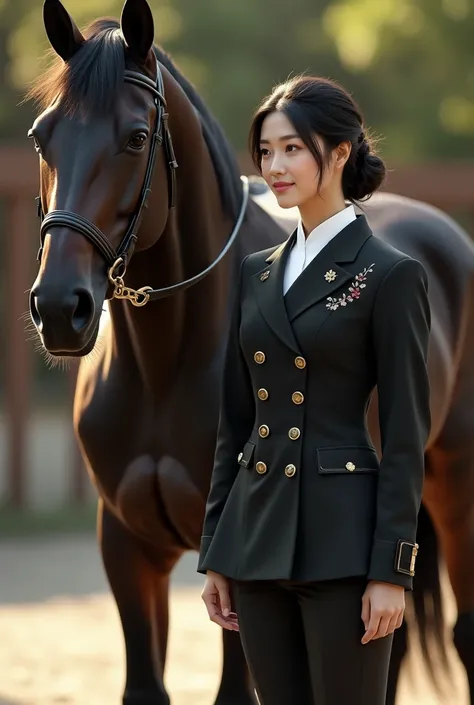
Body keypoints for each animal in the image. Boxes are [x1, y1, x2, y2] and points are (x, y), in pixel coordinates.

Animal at [25, 1, 474, 704]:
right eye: (43, 137)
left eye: (135, 138)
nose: (58, 308)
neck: (165, 362)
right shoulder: (126, 547)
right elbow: (144, 686)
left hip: (458, 485)